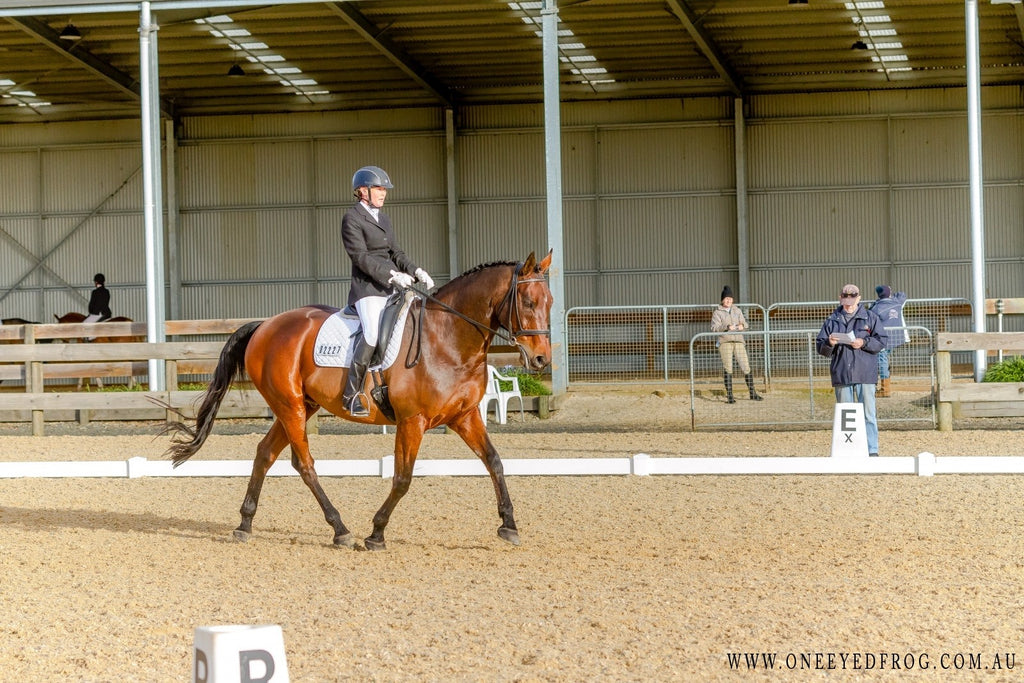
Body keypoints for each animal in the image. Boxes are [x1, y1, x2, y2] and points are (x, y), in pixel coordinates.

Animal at [164, 250, 557, 548]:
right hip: (290, 406)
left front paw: (509, 525)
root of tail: (265, 324)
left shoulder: (465, 416)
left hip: (300, 406)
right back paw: (340, 530)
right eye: (527, 301)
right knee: (304, 464)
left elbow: (495, 462)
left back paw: (245, 525)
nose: (541, 359)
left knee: (264, 454)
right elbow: (402, 478)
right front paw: (377, 532)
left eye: (550, 302)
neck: (447, 339)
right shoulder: (412, 421)